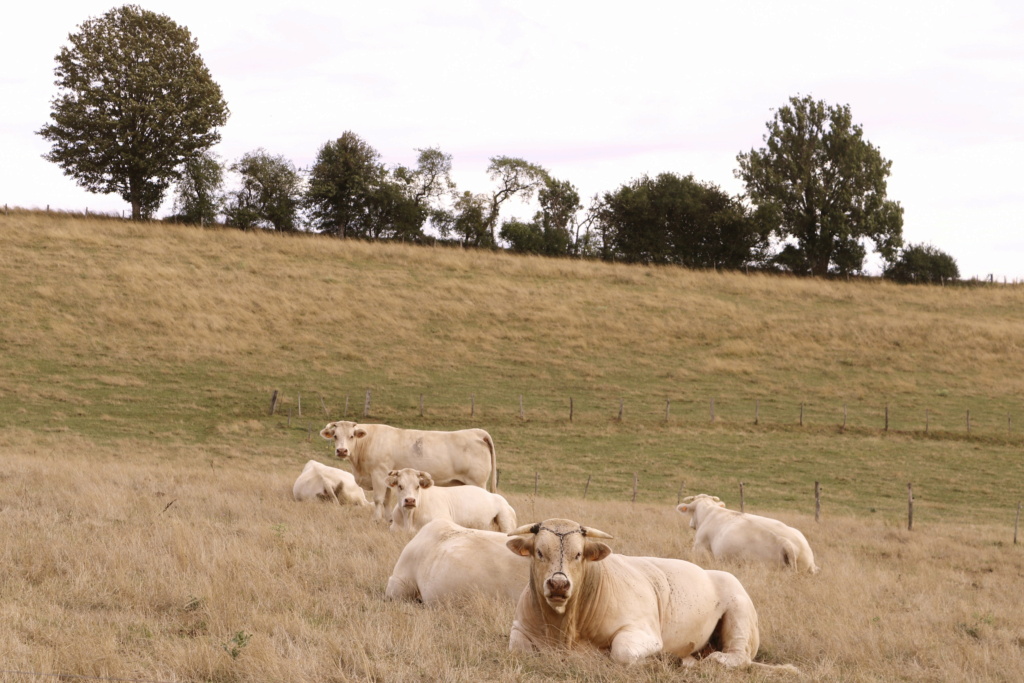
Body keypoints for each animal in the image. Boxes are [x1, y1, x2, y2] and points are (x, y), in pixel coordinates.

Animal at [319, 419, 495, 520]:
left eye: (351, 436)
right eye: (335, 436)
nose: (342, 451)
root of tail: (477, 432)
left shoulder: (378, 473)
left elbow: (378, 499)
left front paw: (376, 519)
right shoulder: (387, 477)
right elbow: (386, 500)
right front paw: (388, 519)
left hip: (478, 482)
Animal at [503, 520, 798, 671]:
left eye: (578, 554)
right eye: (539, 552)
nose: (558, 584)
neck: (565, 627)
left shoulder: (643, 632)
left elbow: (621, 652)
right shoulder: (519, 630)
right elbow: (519, 649)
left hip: (739, 613)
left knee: (739, 656)